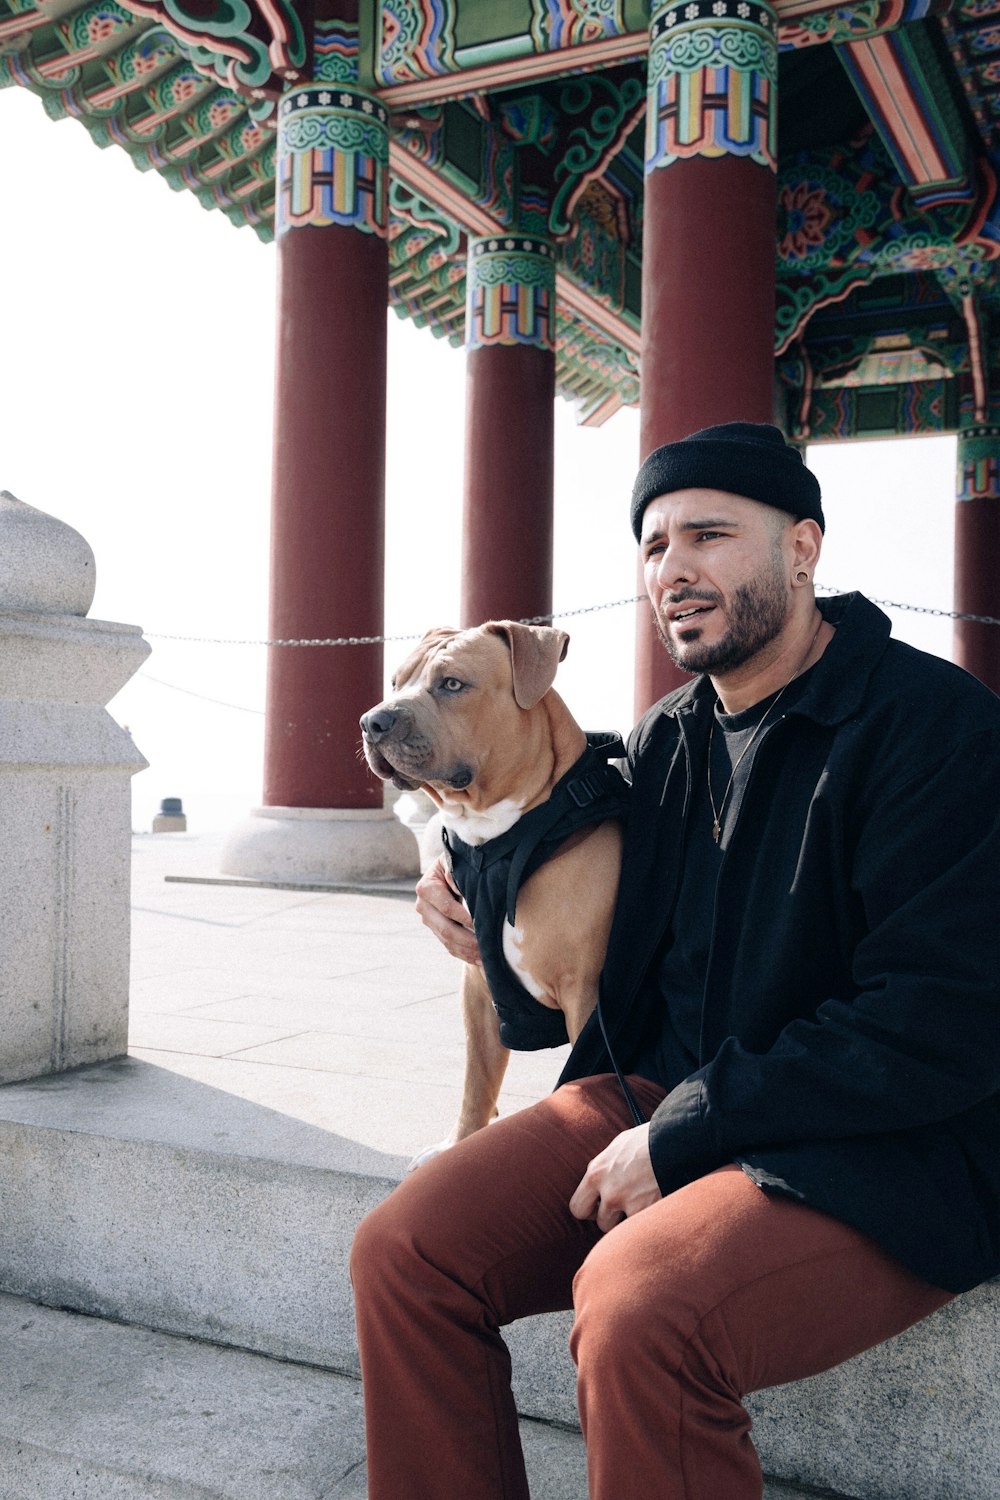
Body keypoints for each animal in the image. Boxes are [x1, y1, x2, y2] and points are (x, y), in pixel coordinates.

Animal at [359, 618, 626, 1158]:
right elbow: (476, 1080)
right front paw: (460, 1143)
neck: (497, 841)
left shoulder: (586, 996)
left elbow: (581, 1087)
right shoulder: (479, 987)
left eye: (452, 684)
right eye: (396, 682)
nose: (372, 721)